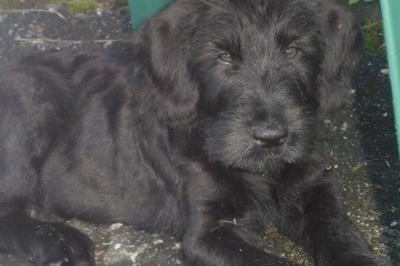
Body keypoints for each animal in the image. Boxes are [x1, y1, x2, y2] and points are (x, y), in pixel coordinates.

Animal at [0, 0, 392, 264]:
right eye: (224, 56)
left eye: (294, 50)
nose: (271, 137)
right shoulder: (208, 233)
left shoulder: (313, 190)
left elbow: (339, 231)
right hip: (30, 109)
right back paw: (60, 241)